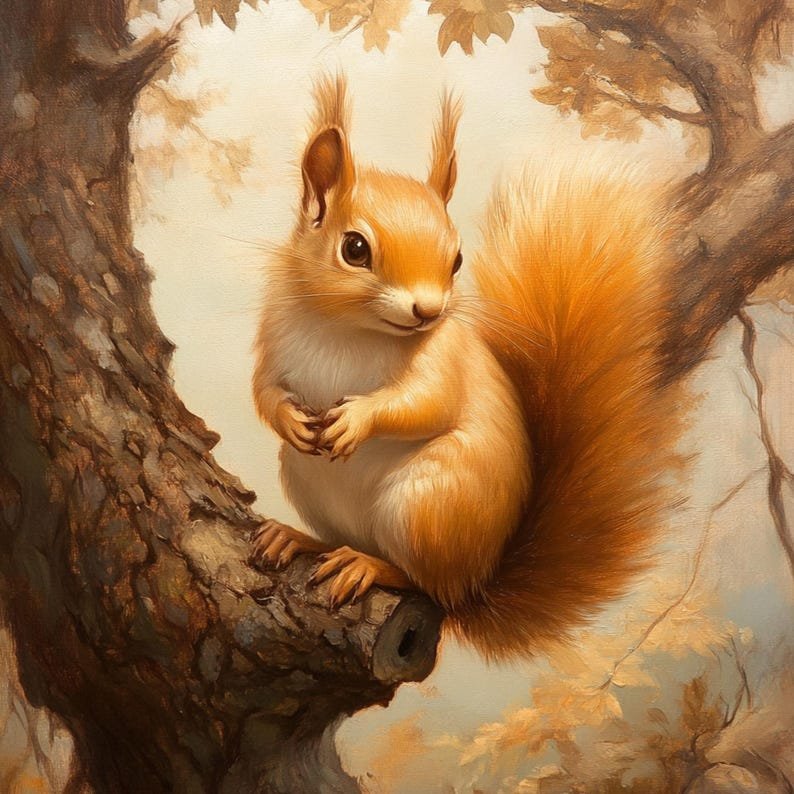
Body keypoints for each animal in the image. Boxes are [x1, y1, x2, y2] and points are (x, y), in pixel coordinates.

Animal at [251, 74, 678, 660]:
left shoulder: (446, 358)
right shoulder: (273, 335)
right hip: (309, 477)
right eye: (354, 248)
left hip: (427, 504)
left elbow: (430, 402)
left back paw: (368, 565)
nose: (428, 311)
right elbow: (263, 390)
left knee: (427, 584)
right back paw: (298, 538)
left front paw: (358, 419)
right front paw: (290, 419)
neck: (349, 328)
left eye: (456, 259)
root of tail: (479, 579)